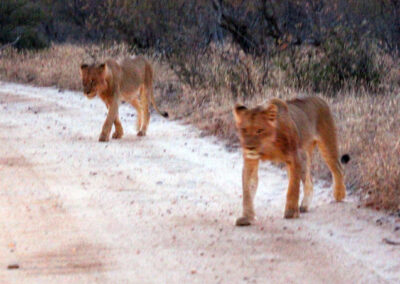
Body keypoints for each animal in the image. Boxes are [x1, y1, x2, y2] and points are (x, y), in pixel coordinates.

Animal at [233, 96, 348, 225]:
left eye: (259, 130)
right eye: (244, 130)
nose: (249, 147)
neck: (268, 145)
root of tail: (320, 98)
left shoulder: (294, 158)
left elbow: (293, 188)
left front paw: (291, 212)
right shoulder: (250, 161)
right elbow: (247, 190)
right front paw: (246, 217)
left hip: (326, 143)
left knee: (338, 168)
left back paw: (339, 194)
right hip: (304, 156)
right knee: (309, 181)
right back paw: (304, 206)